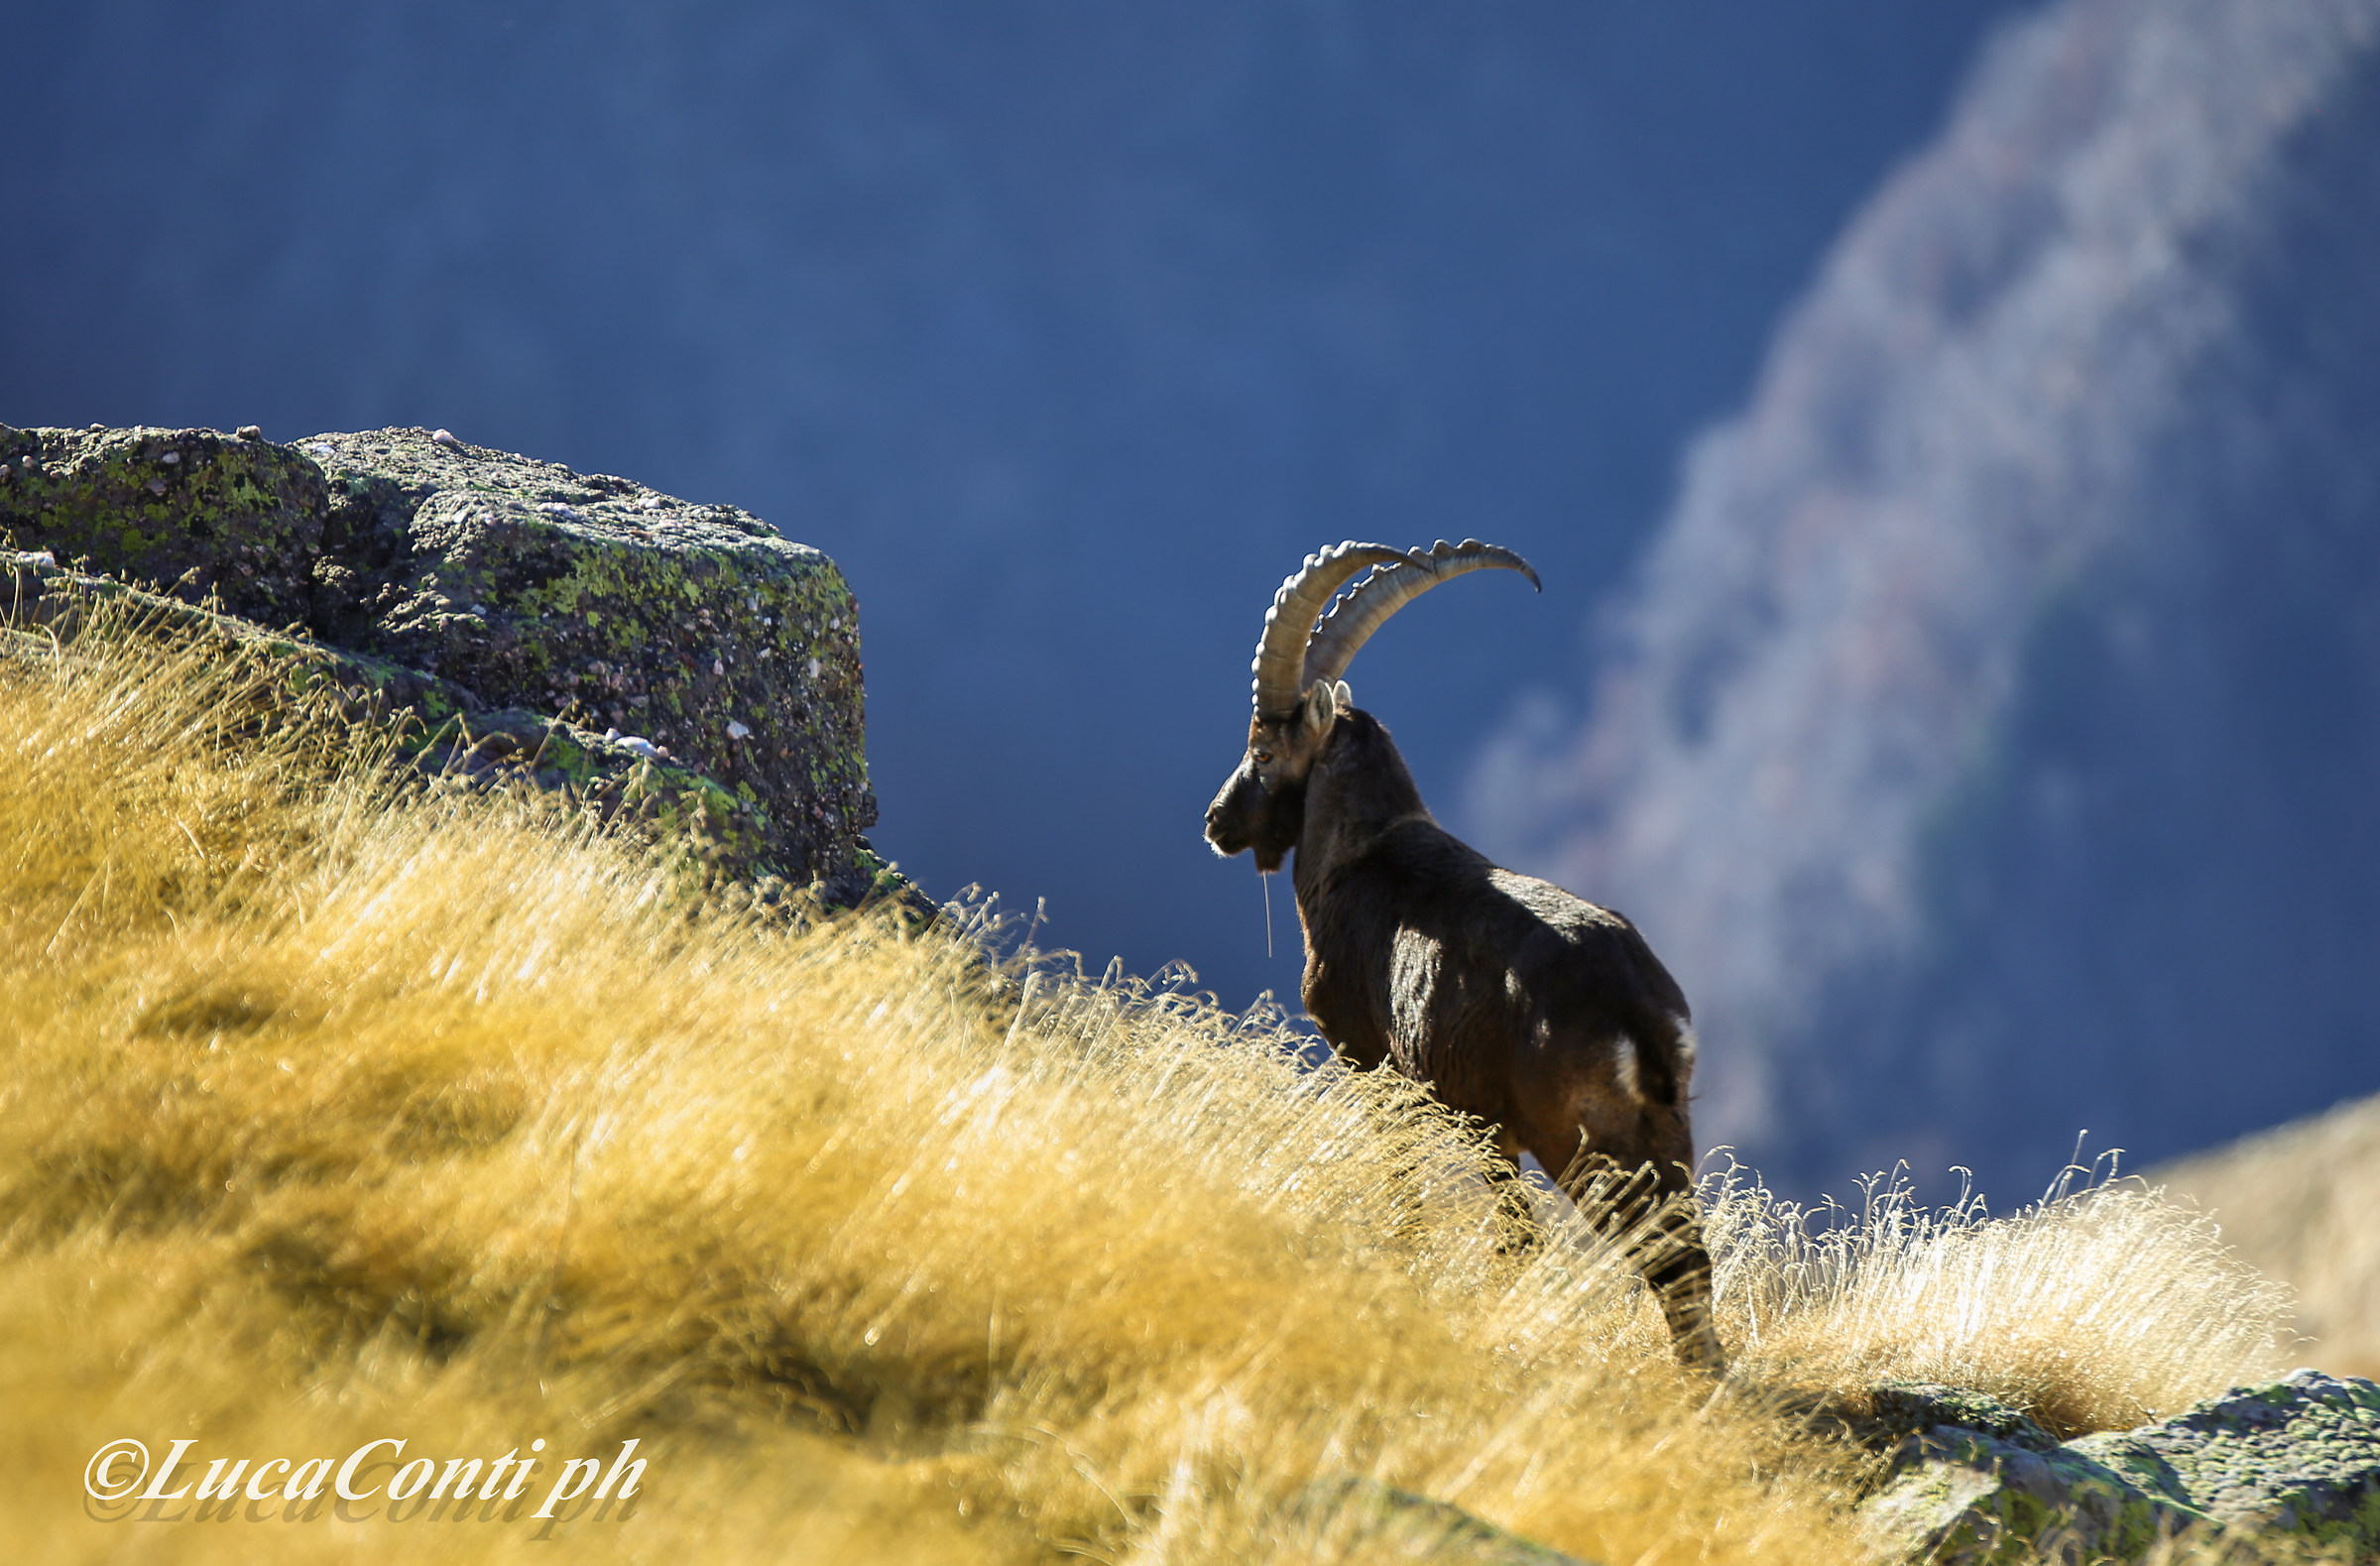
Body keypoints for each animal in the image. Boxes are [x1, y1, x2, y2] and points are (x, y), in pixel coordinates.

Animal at [1204, 539, 1727, 1371]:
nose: (1218, 820)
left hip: (1577, 1139)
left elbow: (1410, 1186)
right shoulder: (1489, 1126)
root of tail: (1639, 1011)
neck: (1362, 850)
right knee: (1686, 1252)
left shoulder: (1370, 1063)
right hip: (1662, 1132)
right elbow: (1513, 1234)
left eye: (1261, 745)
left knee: (1657, 1253)